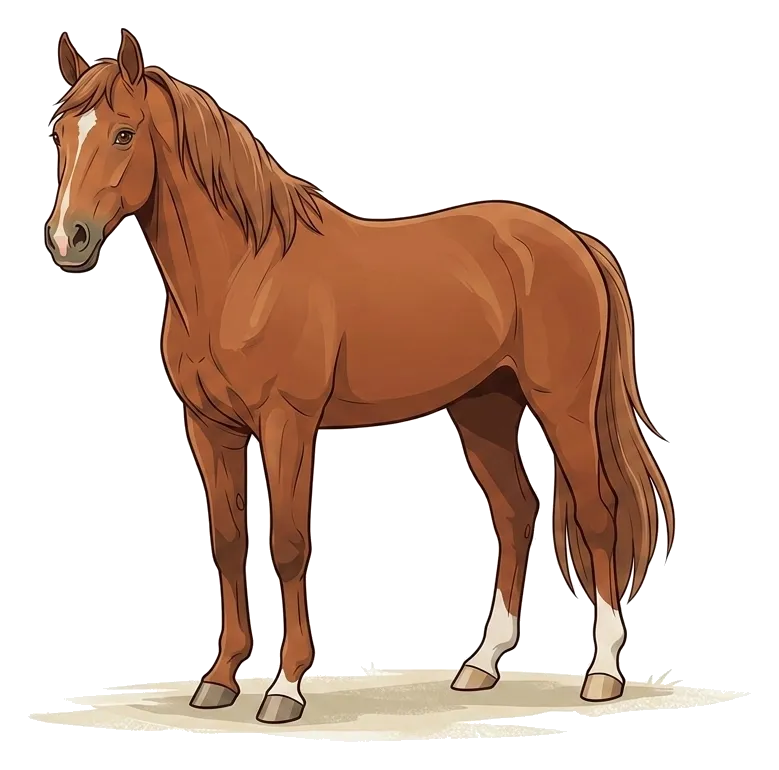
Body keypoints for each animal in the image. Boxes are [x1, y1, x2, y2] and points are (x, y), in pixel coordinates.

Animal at [45, 29, 675, 725]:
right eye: (60, 131)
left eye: (124, 133)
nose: (67, 240)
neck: (242, 274)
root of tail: (578, 243)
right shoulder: (210, 428)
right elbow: (230, 542)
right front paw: (220, 679)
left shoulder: (287, 424)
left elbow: (290, 545)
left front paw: (286, 687)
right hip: (484, 409)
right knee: (516, 513)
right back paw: (481, 665)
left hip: (562, 407)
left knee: (597, 512)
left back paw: (602, 672)